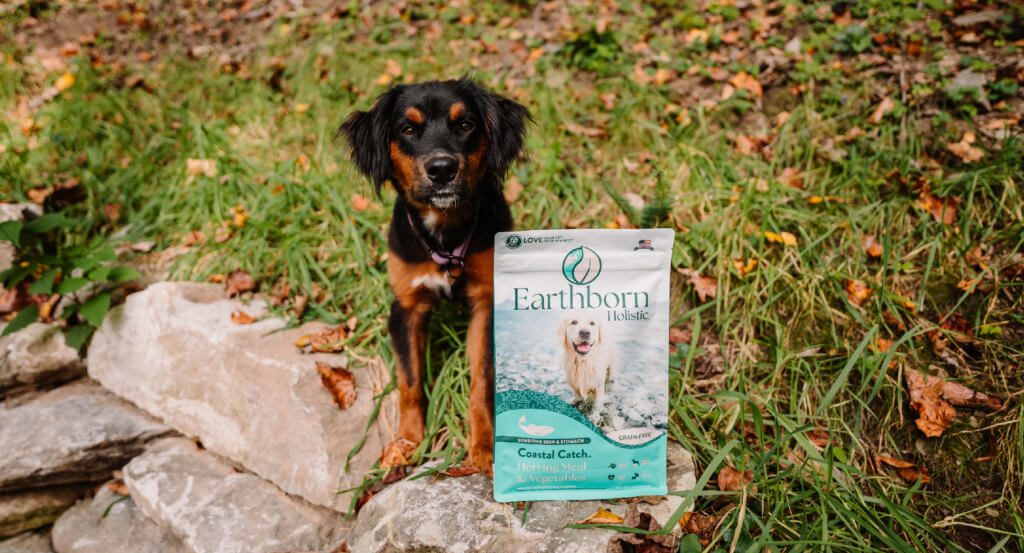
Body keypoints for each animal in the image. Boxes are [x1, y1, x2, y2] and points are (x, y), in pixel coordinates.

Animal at [344, 77, 532, 475]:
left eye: (466, 124)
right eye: (407, 129)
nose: (442, 169)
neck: (444, 232)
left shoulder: (486, 302)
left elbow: (481, 380)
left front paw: (483, 446)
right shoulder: (405, 308)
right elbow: (410, 382)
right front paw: (407, 442)